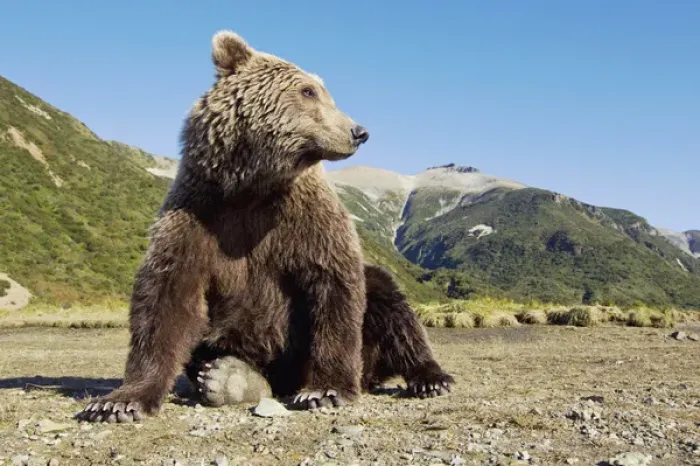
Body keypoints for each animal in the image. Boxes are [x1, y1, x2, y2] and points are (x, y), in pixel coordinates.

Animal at [77, 30, 453, 423]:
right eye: (308, 91)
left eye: (323, 91)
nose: (358, 131)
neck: (252, 186)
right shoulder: (201, 213)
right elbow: (167, 296)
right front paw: (120, 401)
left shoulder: (305, 219)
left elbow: (334, 287)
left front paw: (325, 390)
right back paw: (229, 377)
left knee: (388, 300)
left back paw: (429, 377)